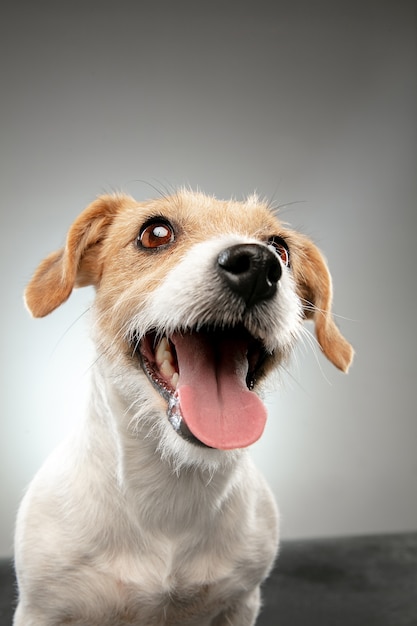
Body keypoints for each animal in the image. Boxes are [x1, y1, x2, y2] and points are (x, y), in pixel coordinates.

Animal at [13, 190, 352, 624]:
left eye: (281, 248)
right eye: (155, 233)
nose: (259, 264)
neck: (171, 487)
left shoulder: (239, 603)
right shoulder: (43, 609)